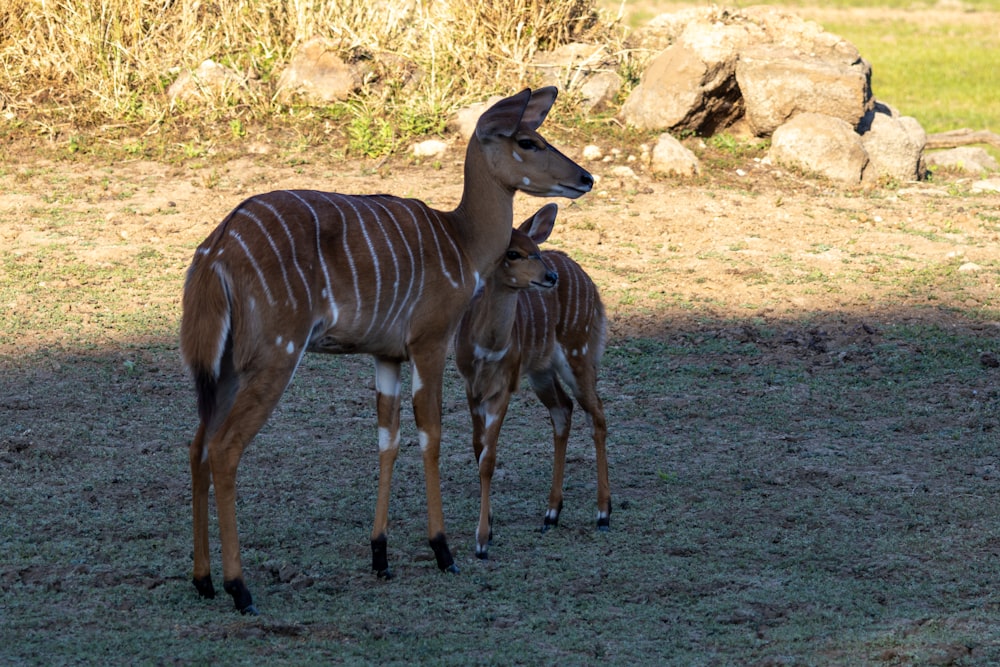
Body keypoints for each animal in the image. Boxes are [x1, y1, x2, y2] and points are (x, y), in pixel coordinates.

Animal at [180, 87, 588, 616]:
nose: (585, 178)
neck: (461, 242)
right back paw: (239, 589)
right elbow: (431, 436)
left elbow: (386, 441)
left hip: (225, 366)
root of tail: (217, 248)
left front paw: (381, 556)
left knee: (198, 444)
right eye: (528, 141)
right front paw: (443, 550)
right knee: (225, 447)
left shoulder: (386, 356)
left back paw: (203, 580)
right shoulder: (428, 342)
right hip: (274, 355)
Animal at [456, 204, 608, 560]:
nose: (550, 277)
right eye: (513, 252)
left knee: (596, 414)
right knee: (563, 410)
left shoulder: (504, 386)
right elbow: (478, 449)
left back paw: (603, 514)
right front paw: (490, 524)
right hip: (542, 371)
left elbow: (489, 459)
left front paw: (482, 541)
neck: (487, 345)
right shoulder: (471, 387)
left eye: (535, 250)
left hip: (578, 354)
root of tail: (589, 282)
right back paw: (551, 514)